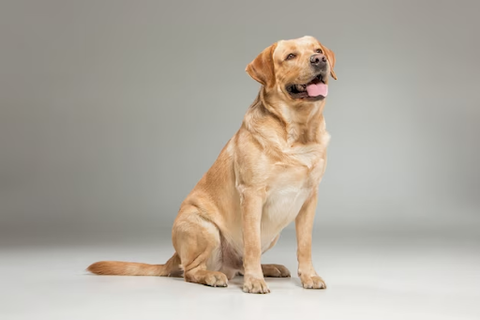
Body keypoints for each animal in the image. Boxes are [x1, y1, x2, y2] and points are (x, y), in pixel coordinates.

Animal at [88, 35, 340, 296]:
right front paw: (254, 281)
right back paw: (214, 276)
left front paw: (309, 276)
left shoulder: (310, 198)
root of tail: (175, 255)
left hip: (270, 236)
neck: (298, 133)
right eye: (290, 56)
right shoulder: (252, 195)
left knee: (238, 265)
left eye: (318, 50)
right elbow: (251, 243)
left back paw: (268, 268)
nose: (319, 60)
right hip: (205, 228)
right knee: (191, 270)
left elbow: (305, 245)